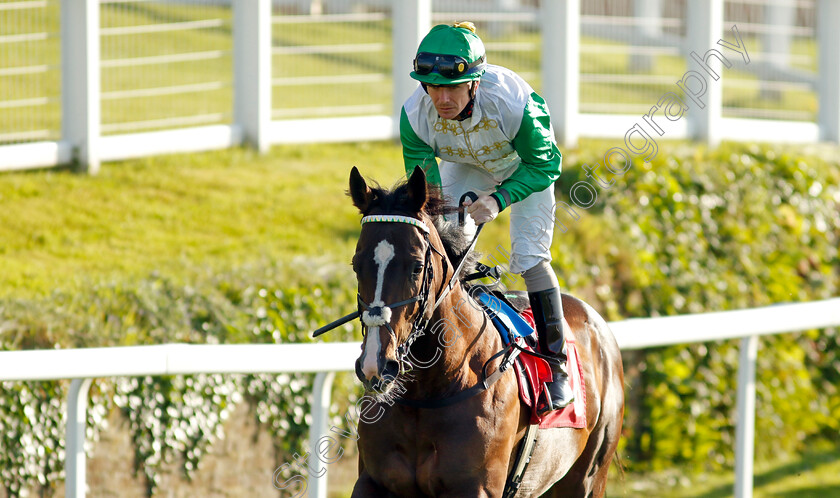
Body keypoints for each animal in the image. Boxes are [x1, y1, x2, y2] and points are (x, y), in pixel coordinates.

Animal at [344, 165, 628, 496]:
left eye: (416, 267)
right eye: (356, 265)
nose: (375, 365)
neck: (429, 390)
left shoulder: (476, 486)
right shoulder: (373, 480)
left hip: (588, 477)